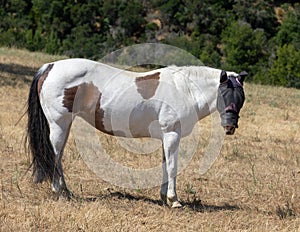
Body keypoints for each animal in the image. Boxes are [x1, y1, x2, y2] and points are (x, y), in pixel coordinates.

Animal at [26, 59, 246, 208]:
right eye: (224, 94)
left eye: (241, 97)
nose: (230, 127)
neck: (184, 90)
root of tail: (50, 67)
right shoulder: (172, 134)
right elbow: (173, 166)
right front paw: (174, 200)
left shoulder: (166, 136)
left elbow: (165, 165)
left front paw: (164, 197)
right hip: (58, 124)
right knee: (55, 155)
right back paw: (58, 191)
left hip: (65, 125)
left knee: (59, 156)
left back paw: (66, 191)